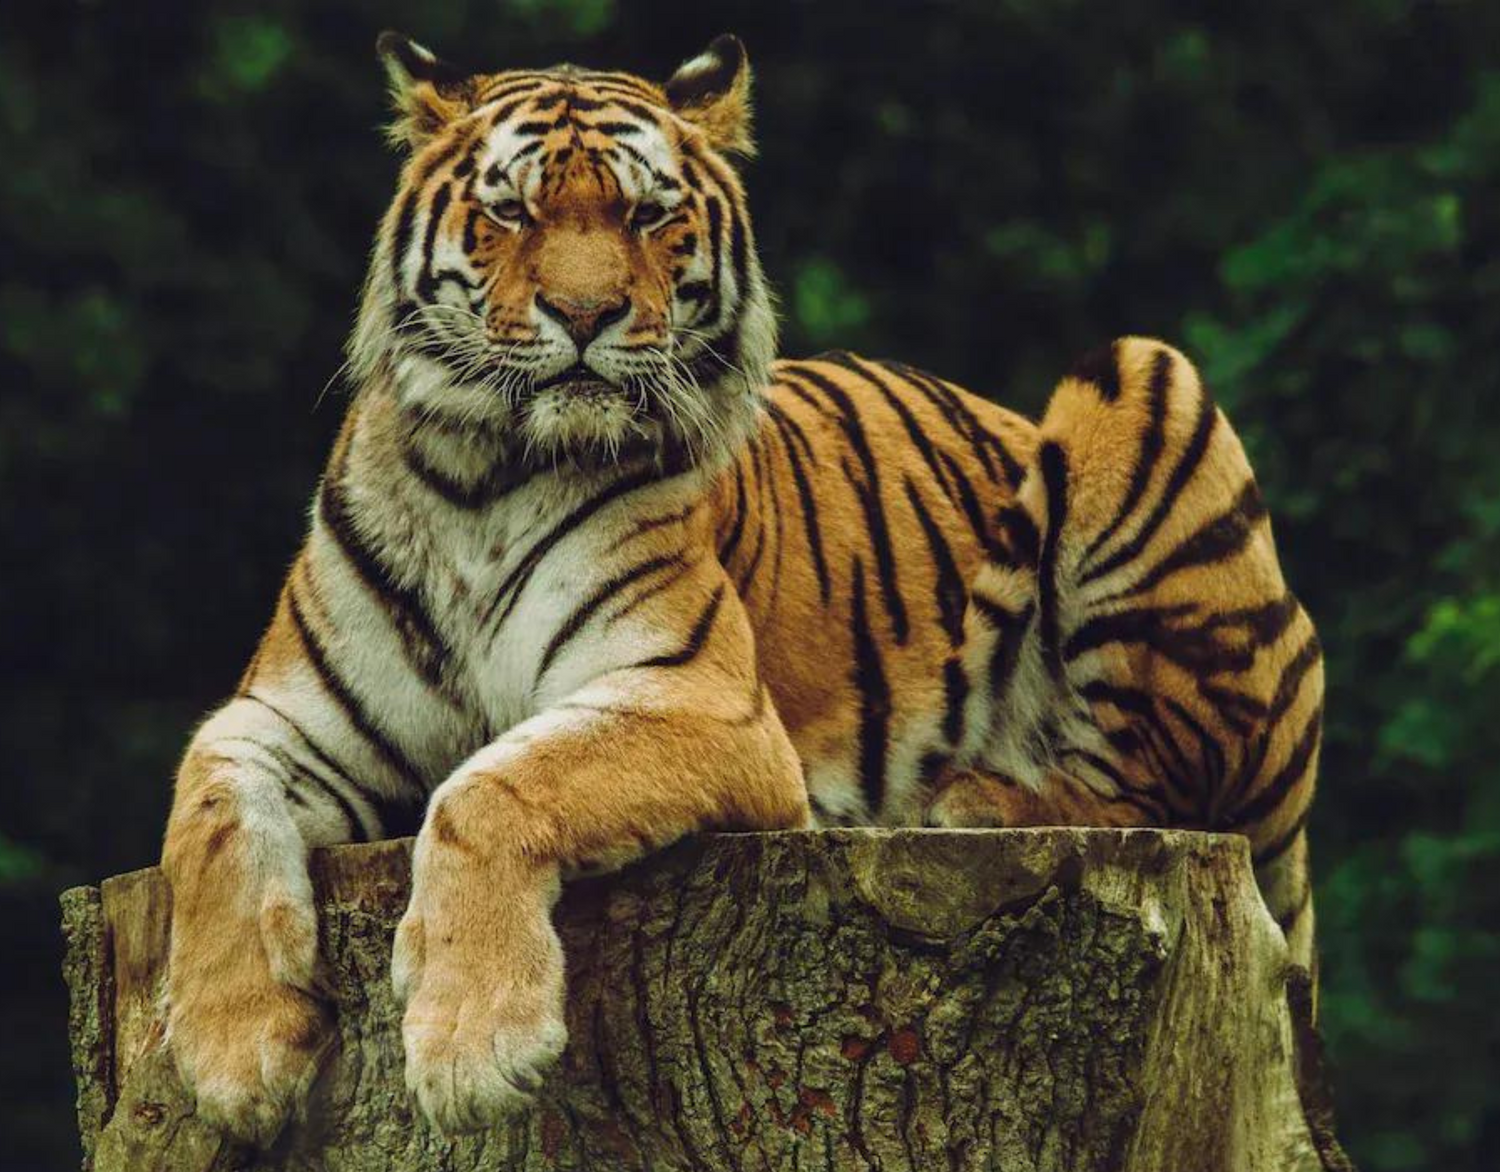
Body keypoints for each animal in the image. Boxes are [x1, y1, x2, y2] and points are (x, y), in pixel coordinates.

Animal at [160, 31, 1324, 1143]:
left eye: (647, 213)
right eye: (511, 210)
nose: (584, 312)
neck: (480, 479)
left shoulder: (698, 697)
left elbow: (489, 786)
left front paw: (473, 1048)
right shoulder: (282, 717)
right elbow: (207, 821)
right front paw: (234, 1056)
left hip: (1144, 378)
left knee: (1162, 782)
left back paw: (975, 796)